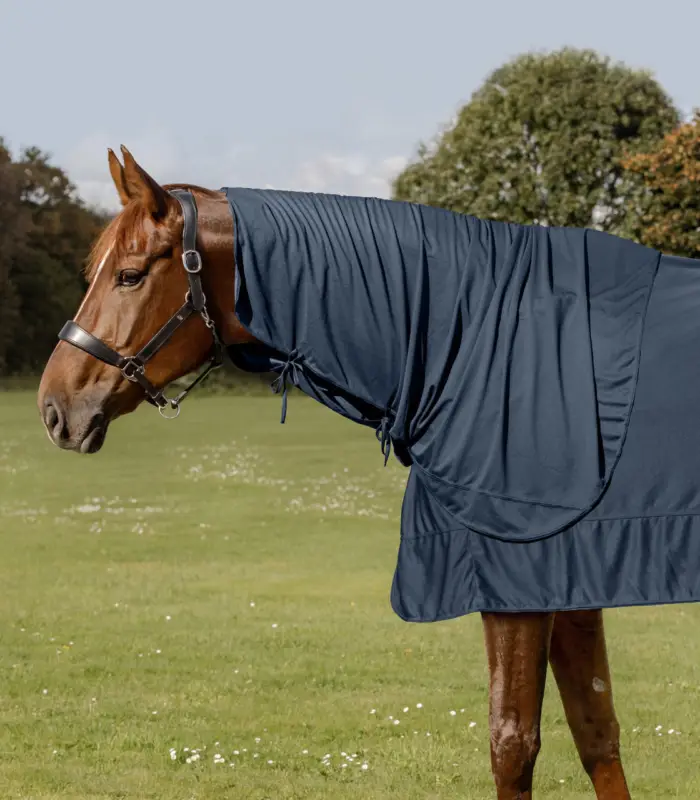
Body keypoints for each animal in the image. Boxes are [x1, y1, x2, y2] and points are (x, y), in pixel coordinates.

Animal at [37, 146, 634, 799]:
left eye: (129, 276)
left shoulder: (523, 582)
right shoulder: (571, 583)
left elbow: (514, 743)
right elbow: (596, 730)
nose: (54, 407)